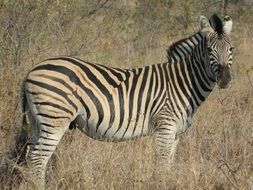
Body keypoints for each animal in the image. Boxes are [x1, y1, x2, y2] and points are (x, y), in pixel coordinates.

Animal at [16, 14, 233, 188]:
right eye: (209, 50)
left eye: (231, 49)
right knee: (38, 158)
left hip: (38, 121)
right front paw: (161, 184)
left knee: (30, 154)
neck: (182, 83)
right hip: (55, 118)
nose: (224, 79)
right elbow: (162, 165)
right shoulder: (165, 127)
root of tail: (31, 71)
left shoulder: (176, 133)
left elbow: (169, 165)